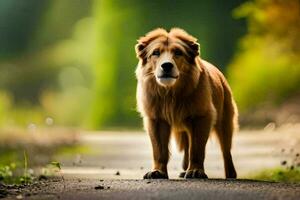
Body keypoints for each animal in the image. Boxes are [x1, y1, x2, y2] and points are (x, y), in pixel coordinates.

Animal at [135, 27, 238, 179]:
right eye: (156, 53)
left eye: (178, 52)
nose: (166, 66)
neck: (170, 94)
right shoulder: (156, 119)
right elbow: (159, 150)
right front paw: (158, 171)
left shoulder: (201, 117)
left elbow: (196, 149)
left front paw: (195, 171)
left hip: (224, 122)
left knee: (226, 150)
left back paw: (231, 174)